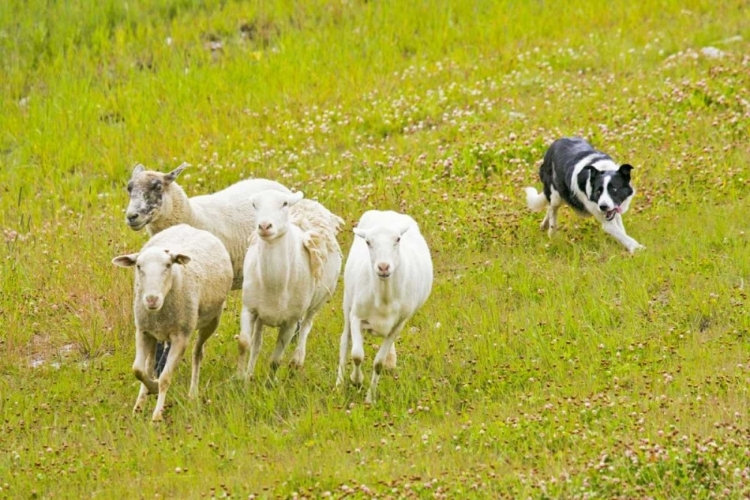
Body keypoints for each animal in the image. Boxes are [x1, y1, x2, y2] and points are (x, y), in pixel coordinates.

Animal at [112, 225, 232, 420]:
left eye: (168, 266)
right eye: (138, 266)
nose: (151, 299)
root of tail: (190, 227)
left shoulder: (180, 337)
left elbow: (165, 378)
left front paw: (157, 415)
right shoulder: (142, 331)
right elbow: (137, 370)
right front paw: (147, 393)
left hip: (211, 321)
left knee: (197, 353)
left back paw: (192, 393)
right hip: (155, 333)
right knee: (148, 365)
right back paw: (140, 404)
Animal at [239, 189, 346, 380]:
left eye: (284, 204)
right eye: (254, 205)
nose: (264, 226)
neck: (274, 284)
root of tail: (309, 202)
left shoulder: (290, 322)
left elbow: (275, 360)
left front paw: (270, 383)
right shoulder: (249, 309)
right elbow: (246, 344)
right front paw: (242, 379)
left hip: (318, 302)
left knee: (306, 326)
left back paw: (297, 360)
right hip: (261, 314)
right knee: (257, 342)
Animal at [336, 209, 434, 404]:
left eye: (397, 239)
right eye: (368, 242)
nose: (383, 267)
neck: (384, 298)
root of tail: (388, 212)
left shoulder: (397, 326)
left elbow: (378, 363)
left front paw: (370, 398)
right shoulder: (356, 316)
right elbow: (357, 355)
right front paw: (356, 380)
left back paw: (390, 361)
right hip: (347, 302)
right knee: (345, 341)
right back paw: (339, 383)